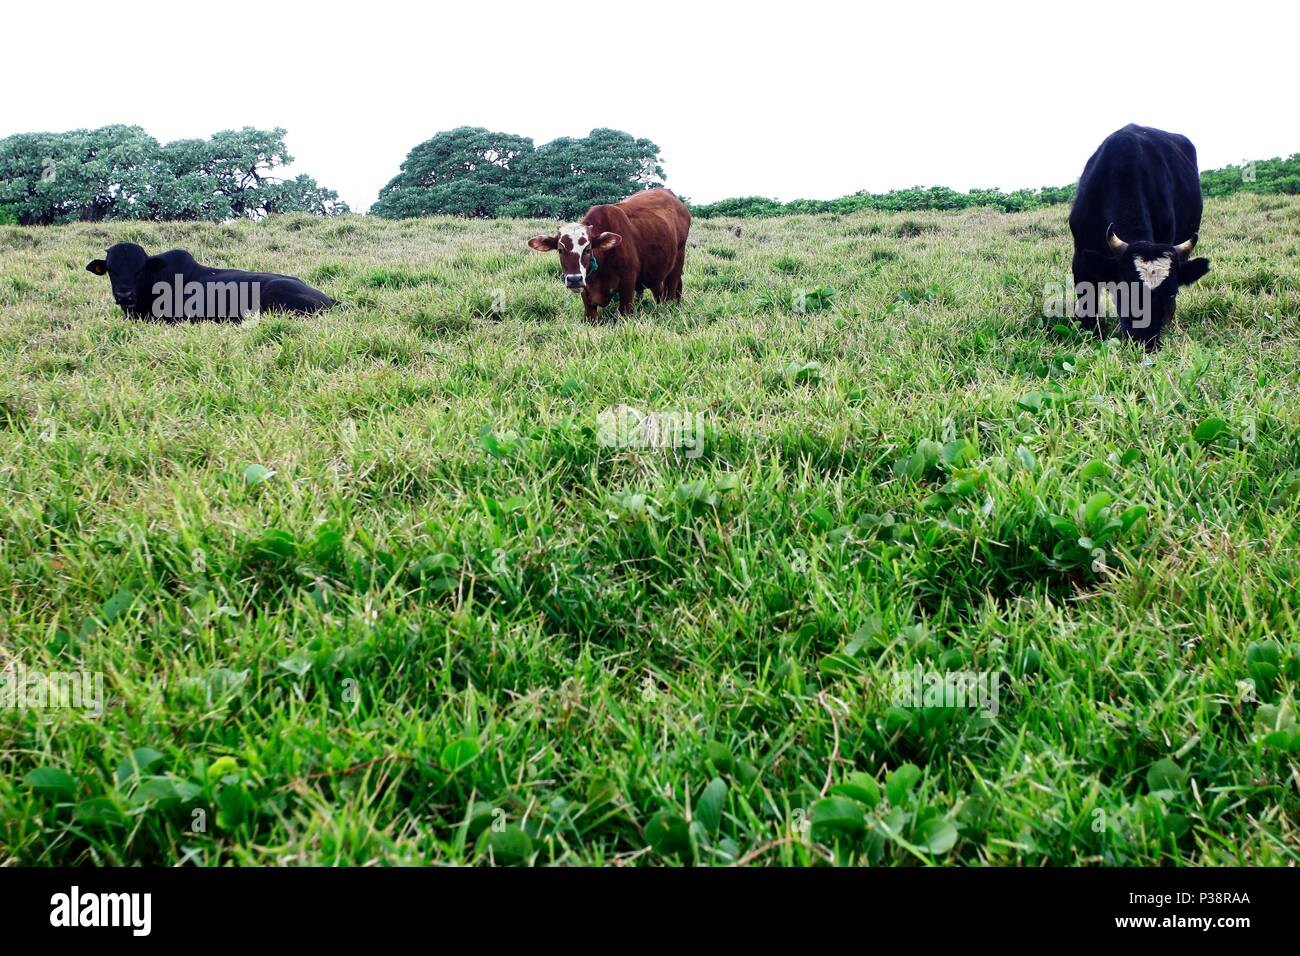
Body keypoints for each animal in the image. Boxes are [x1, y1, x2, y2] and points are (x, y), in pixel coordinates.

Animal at [527, 189, 691, 321]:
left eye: (588, 249)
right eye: (560, 250)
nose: (574, 279)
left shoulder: (628, 283)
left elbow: (625, 313)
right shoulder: (587, 295)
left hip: (677, 263)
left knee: (671, 292)